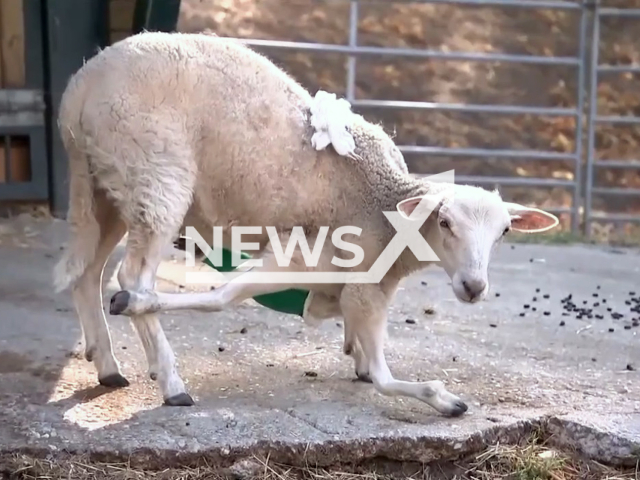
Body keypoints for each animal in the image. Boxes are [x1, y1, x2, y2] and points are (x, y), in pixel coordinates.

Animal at [52, 31, 556, 416]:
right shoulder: (357, 275)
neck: (386, 204)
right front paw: (438, 397)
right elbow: (381, 369)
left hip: (107, 187)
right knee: (131, 276)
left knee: (88, 272)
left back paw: (107, 365)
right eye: (445, 222)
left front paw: (356, 356)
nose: (474, 287)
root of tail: (78, 91)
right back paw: (171, 381)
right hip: (155, 173)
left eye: (504, 232)